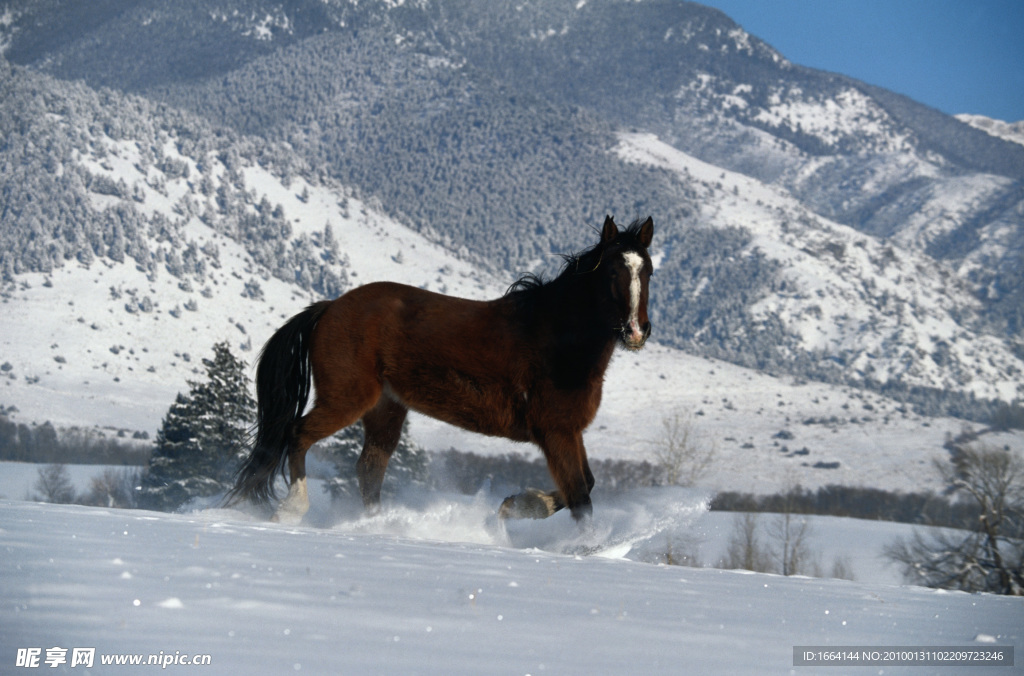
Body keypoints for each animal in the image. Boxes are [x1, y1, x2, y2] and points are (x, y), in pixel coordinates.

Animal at [225, 216, 655, 522]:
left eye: (648, 271)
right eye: (612, 272)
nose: (636, 332)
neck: (557, 337)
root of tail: (329, 307)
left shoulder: (568, 432)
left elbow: (585, 486)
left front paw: (516, 505)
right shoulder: (556, 432)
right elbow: (581, 498)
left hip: (385, 409)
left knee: (369, 469)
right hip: (347, 398)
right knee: (298, 435)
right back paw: (292, 509)